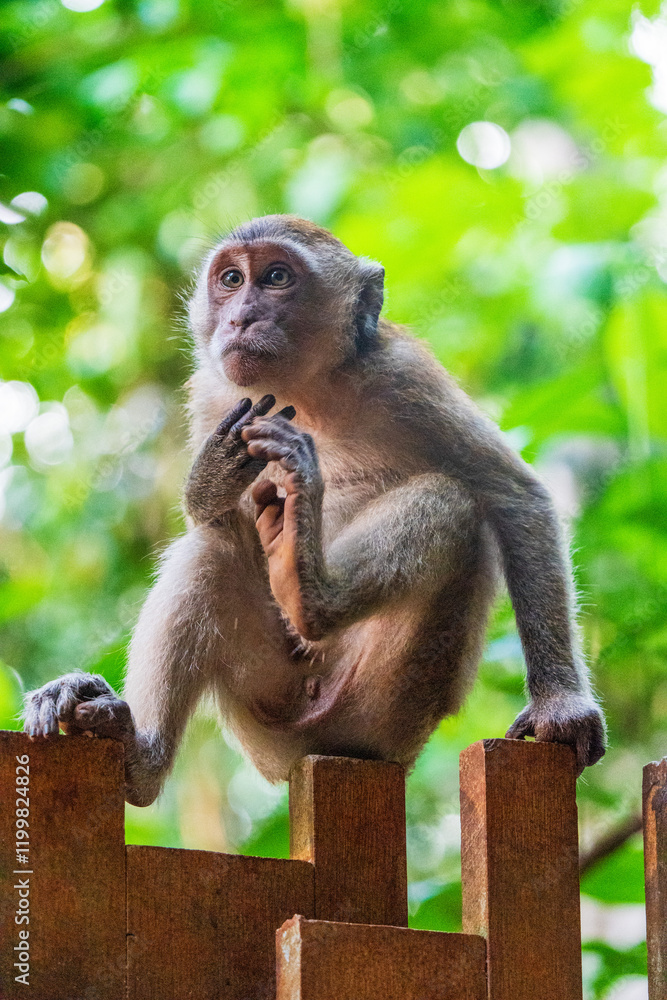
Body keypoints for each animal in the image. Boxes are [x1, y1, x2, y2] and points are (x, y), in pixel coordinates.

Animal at [23, 214, 606, 805]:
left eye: (277, 277)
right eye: (231, 279)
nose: (240, 317)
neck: (302, 391)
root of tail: (301, 755)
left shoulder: (406, 375)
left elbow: (512, 495)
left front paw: (561, 709)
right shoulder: (213, 391)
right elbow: (210, 519)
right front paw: (214, 476)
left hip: (385, 705)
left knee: (452, 501)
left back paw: (311, 591)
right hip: (266, 706)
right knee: (214, 547)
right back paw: (139, 757)